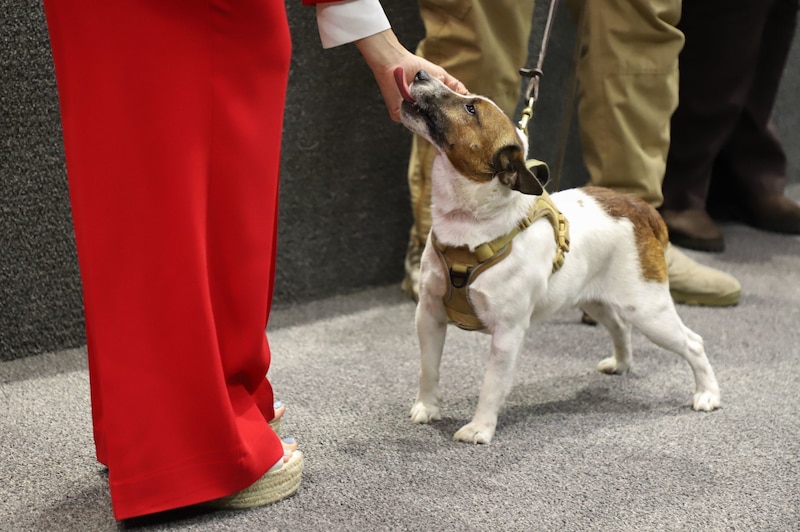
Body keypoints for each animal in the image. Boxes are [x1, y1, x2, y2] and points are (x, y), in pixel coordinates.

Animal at [396, 70, 720, 444]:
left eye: (470, 109)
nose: (420, 73)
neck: (471, 227)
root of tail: (638, 206)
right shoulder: (429, 314)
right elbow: (429, 368)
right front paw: (428, 407)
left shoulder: (507, 334)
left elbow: (492, 385)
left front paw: (480, 428)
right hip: (596, 300)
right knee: (619, 326)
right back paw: (621, 363)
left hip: (649, 311)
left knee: (693, 343)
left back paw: (707, 394)